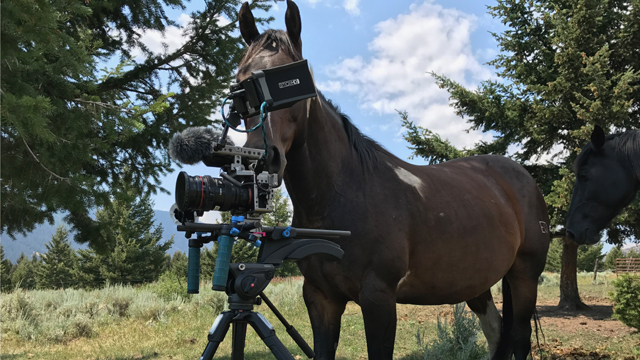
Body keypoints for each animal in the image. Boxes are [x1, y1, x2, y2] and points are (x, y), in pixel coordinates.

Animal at [236, 1, 552, 358]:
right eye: (241, 82)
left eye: (291, 82)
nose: (261, 160)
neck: (344, 194)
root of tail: (519, 177)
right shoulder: (320, 298)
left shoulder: (378, 300)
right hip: (477, 282)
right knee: (497, 334)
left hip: (524, 277)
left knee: (519, 338)